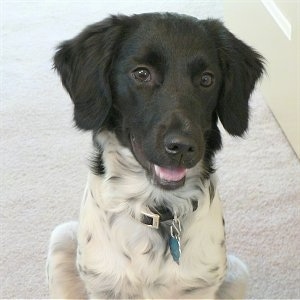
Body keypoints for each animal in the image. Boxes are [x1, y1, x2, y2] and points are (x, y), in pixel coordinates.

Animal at [45, 12, 264, 298]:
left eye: (206, 79)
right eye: (142, 73)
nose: (182, 147)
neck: (158, 207)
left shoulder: (202, 286)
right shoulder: (102, 284)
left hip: (238, 273)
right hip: (62, 239)